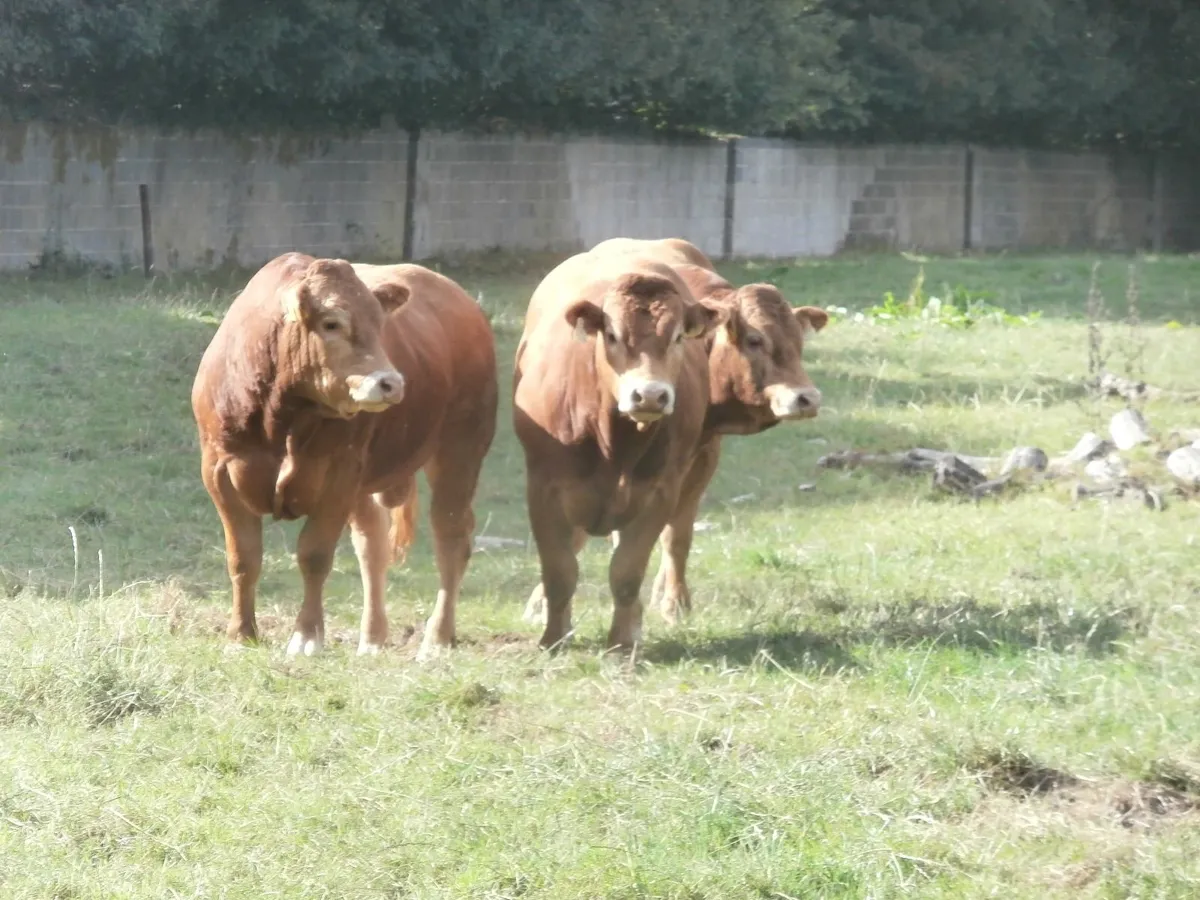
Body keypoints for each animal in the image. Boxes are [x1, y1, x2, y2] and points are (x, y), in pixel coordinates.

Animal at [191, 253, 497, 661]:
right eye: (331, 323)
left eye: (381, 323)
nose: (391, 383)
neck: (281, 416)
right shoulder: (219, 471)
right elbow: (244, 557)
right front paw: (241, 634)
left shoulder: (340, 474)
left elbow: (315, 555)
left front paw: (306, 636)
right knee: (373, 546)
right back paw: (372, 638)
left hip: (460, 449)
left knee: (451, 536)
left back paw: (436, 638)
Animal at [512, 251, 721, 651]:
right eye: (612, 335)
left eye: (677, 337)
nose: (651, 395)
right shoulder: (543, 489)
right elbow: (560, 570)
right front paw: (553, 638)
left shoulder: (659, 492)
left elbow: (626, 572)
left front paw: (622, 643)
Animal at [522, 237, 828, 626]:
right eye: (755, 339)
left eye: (799, 341)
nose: (807, 398)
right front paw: (541, 602)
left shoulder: (701, 456)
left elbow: (676, 535)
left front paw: (672, 600)